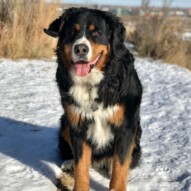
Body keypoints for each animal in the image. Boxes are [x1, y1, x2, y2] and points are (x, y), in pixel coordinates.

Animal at [44, 7, 143, 191]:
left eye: (96, 32)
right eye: (72, 31)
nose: (80, 49)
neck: (91, 84)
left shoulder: (125, 127)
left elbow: (120, 165)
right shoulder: (77, 124)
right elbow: (81, 165)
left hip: (136, 131)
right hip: (65, 123)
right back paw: (69, 163)